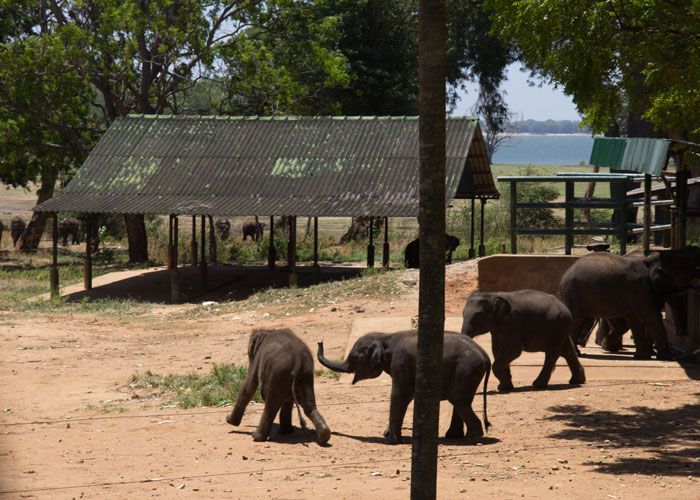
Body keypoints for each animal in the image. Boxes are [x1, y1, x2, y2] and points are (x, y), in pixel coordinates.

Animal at [317, 330, 491, 444]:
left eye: (352, 357)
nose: (320, 341)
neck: (385, 336)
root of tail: (485, 355)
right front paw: (387, 434)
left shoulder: (401, 362)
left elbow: (399, 395)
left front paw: (390, 440)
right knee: (459, 401)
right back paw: (455, 437)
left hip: (468, 369)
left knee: (459, 400)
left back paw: (471, 438)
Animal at [559, 249, 697, 360]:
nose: (680, 334)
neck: (650, 259)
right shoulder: (638, 288)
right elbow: (650, 317)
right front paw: (666, 358)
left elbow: (636, 320)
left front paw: (643, 356)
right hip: (572, 291)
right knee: (577, 320)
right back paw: (578, 353)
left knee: (585, 320)